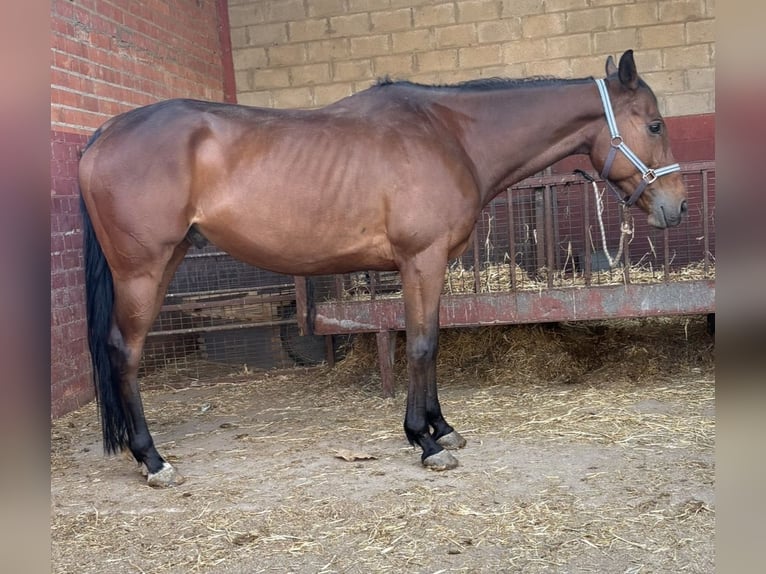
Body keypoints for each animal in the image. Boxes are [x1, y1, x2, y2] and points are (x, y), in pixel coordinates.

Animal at [78, 50, 686, 487]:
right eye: (655, 125)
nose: (676, 208)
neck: (450, 135)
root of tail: (105, 134)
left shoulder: (427, 266)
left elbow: (431, 339)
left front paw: (442, 428)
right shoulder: (422, 260)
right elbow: (420, 344)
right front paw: (425, 442)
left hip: (169, 259)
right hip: (142, 271)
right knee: (123, 352)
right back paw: (152, 460)